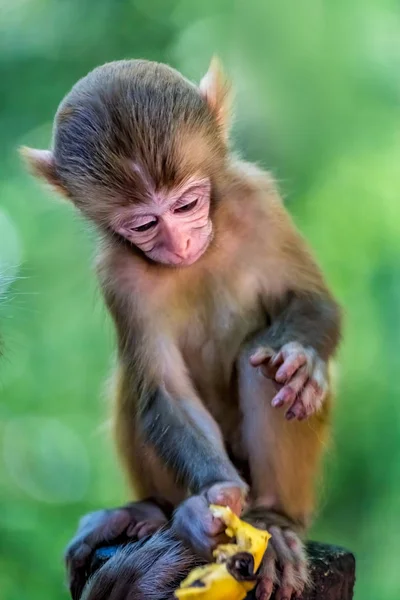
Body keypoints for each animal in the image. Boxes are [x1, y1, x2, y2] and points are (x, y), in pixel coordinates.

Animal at [21, 57, 340, 600]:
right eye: (145, 224)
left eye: (187, 204)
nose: (180, 243)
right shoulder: (118, 273)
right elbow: (164, 390)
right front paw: (209, 504)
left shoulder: (257, 198)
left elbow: (314, 305)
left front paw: (302, 361)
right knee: (136, 385)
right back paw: (150, 512)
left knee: (260, 360)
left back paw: (275, 521)